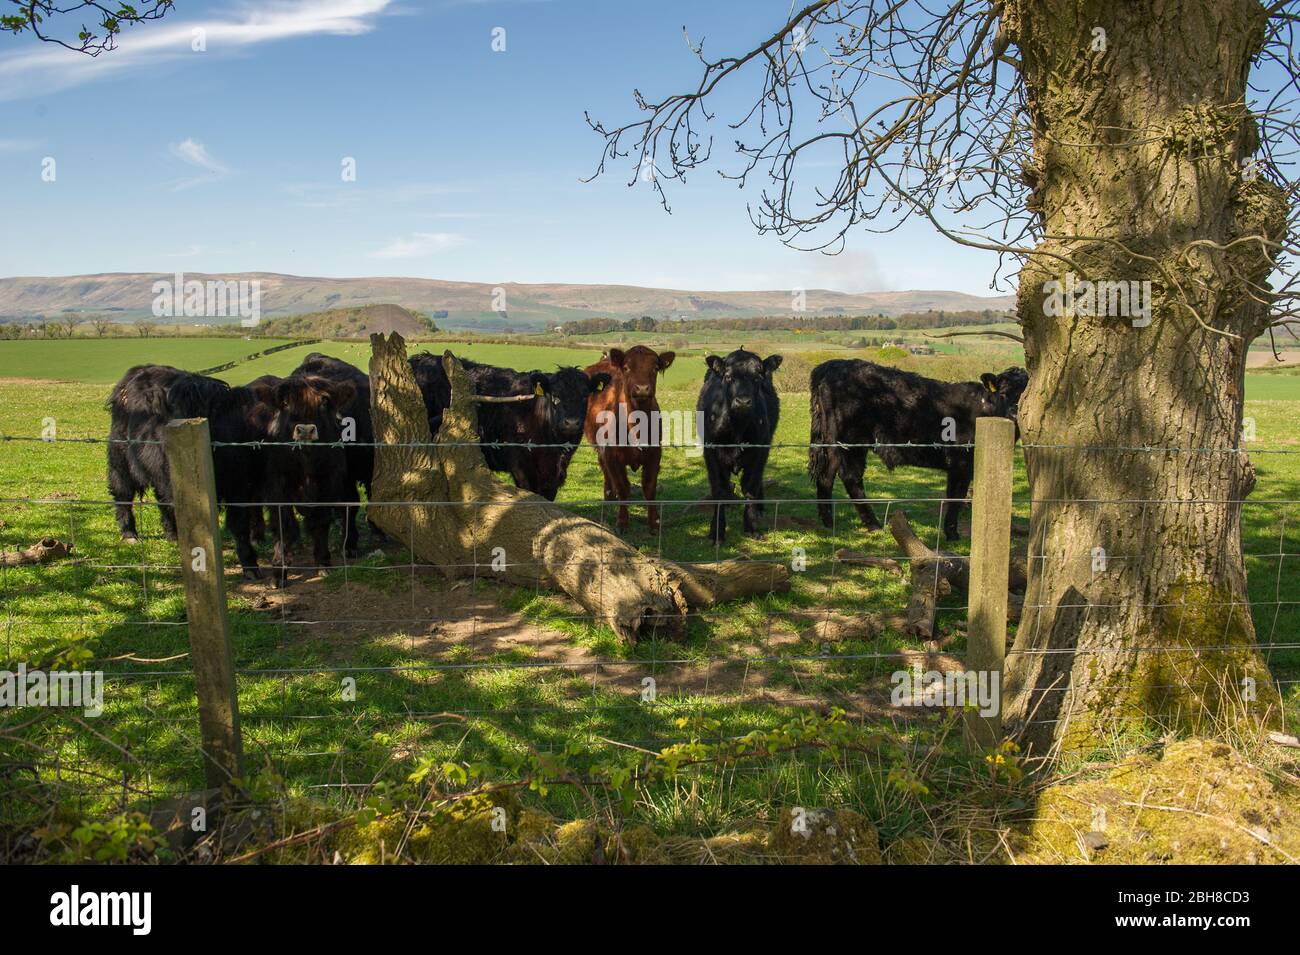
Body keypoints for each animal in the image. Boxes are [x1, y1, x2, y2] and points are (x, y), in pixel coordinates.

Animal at [585, 348, 676, 535]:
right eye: (626, 368)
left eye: (655, 368)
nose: (642, 388)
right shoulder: (612, 456)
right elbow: (623, 487)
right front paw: (622, 523)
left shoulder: (655, 454)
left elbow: (649, 488)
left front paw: (654, 523)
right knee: (605, 470)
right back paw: (609, 495)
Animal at [702, 348, 780, 540]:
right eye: (728, 376)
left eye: (757, 377)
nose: (743, 401)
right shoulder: (711, 452)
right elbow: (719, 490)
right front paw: (717, 531)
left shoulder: (760, 452)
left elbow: (750, 487)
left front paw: (751, 527)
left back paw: (759, 508)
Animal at [806, 361, 1029, 540]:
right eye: (1003, 393)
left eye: (1027, 394)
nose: (1014, 414)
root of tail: (831, 365)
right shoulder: (961, 463)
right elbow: (956, 496)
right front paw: (952, 533)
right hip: (848, 441)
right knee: (844, 477)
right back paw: (864, 524)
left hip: (839, 443)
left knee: (833, 476)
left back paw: (836, 522)